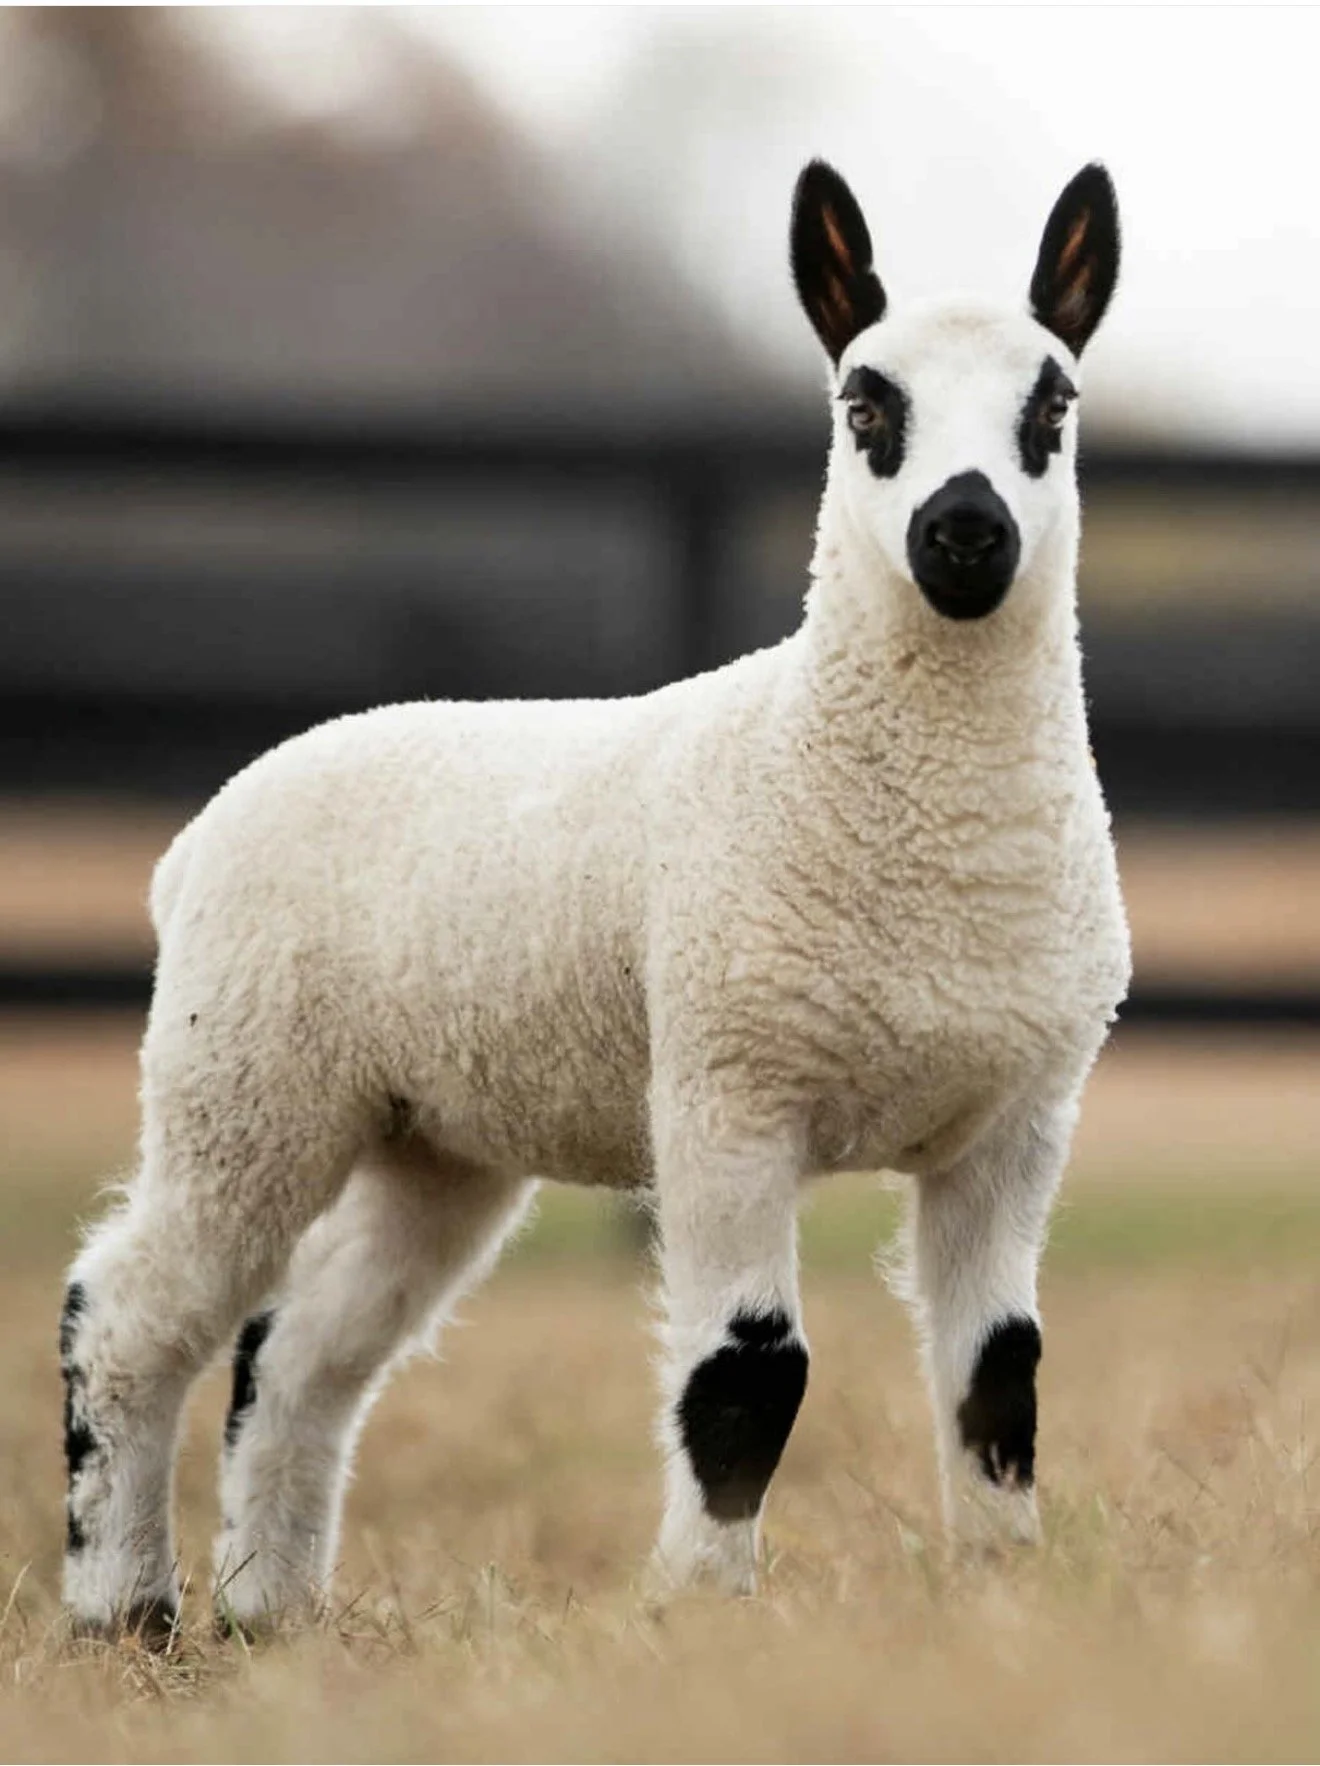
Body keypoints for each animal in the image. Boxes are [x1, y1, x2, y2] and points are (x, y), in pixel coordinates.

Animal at [60, 158, 1130, 1639]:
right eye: (865, 406)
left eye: (1053, 407)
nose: (964, 532)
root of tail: (195, 837)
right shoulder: (729, 1085)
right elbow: (749, 1374)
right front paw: (700, 1612)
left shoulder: (1018, 1117)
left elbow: (1001, 1373)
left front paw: (1000, 1599)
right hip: (247, 1074)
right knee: (130, 1309)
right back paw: (124, 1609)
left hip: (428, 1135)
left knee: (299, 1350)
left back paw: (272, 1615)